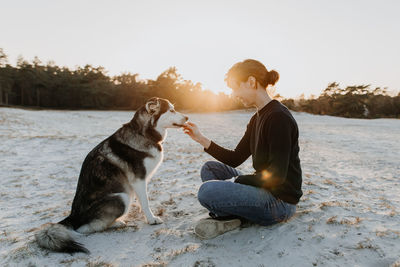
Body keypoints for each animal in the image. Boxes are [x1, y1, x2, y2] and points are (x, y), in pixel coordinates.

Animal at [35, 97, 188, 254]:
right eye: (171, 110)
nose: (187, 118)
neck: (143, 134)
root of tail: (73, 216)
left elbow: (142, 200)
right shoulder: (138, 179)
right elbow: (145, 202)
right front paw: (151, 219)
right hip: (122, 197)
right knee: (85, 229)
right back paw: (117, 223)